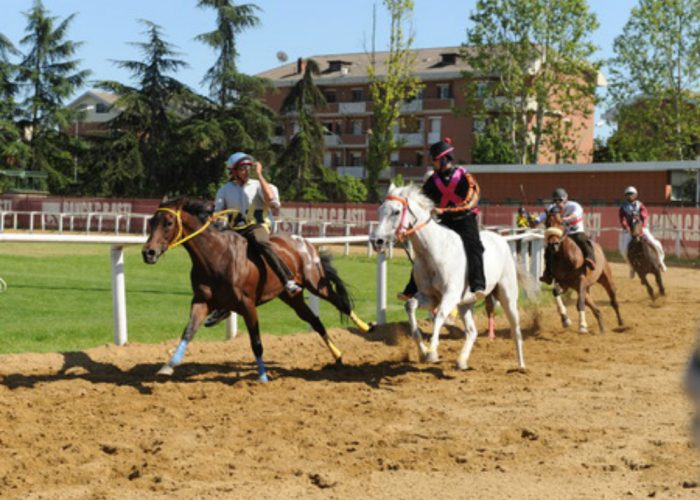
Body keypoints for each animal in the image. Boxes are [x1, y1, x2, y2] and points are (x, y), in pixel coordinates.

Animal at [142, 197, 372, 380]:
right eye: (152, 222)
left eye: (168, 222)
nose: (148, 253)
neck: (216, 257)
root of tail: (306, 243)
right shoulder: (201, 301)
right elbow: (188, 332)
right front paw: (168, 366)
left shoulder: (247, 305)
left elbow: (257, 343)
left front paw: (262, 376)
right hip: (292, 297)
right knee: (316, 322)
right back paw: (338, 356)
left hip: (315, 283)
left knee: (341, 303)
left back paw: (366, 327)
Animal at [370, 185, 532, 372]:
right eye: (380, 210)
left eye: (396, 212)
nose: (376, 241)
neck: (434, 252)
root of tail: (502, 240)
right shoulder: (429, 297)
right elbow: (410, 306)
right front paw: (422, 352)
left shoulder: (450, 295)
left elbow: (439, 316)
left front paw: (432, 352)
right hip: (466, 304)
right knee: (472, 331)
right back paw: (461, 361)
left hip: (507, 296)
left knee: (515, 329)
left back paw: (521, 365)